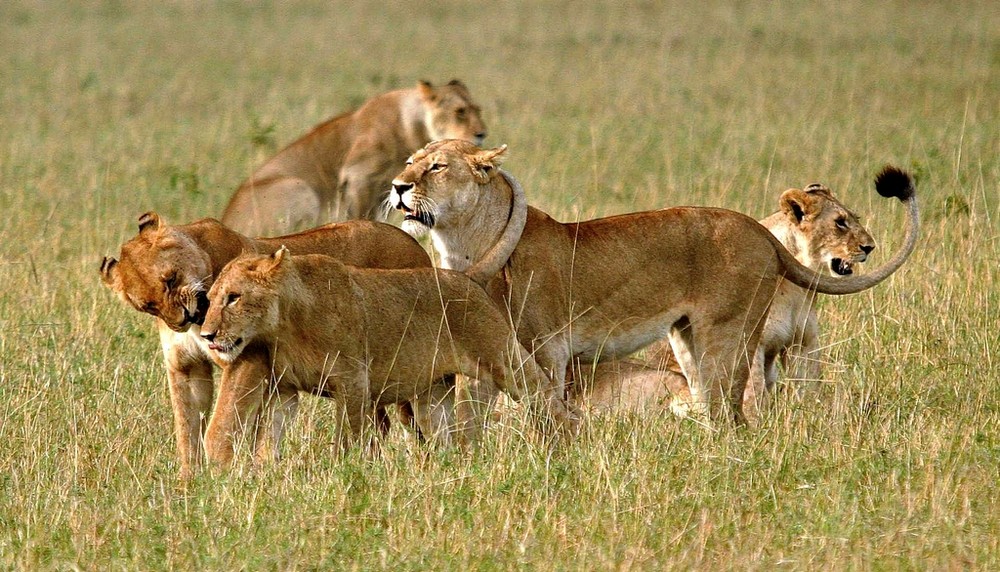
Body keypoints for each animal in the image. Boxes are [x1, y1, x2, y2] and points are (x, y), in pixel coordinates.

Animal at [97, 212, 434, 476]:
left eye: (170, 279)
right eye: (148, 306)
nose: (184, 317)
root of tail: (413, 242)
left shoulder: (248, 357)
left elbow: (219, 426)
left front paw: (221, 476)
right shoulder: (186, 367)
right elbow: (187, 431)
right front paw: (190, 484)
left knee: (412, 423)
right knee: (381, 424)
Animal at [199, 246, 580, 464]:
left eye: (233, 297)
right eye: (211, 299)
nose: (207, 335)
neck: (287, 325)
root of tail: (464, 276)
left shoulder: (353, 382)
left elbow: (349, 437)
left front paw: (345, 473)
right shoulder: (285, 389)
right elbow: (269, 435)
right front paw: (266, 473)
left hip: (503, 358)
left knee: (549, 401)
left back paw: (569, 455)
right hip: (432, 396)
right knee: (445, 439)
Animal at [221, 78, 486, 235]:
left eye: (478, 109)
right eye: (460, 112)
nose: (482, 134)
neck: (415, 126)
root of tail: (226, 221)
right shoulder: (358, 177)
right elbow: (361, 216)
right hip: (299, 187)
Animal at [572, 182, 884, 416]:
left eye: (854, 218)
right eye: (840, 223)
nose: (870, 247)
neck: (797, 289)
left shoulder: (803, 343)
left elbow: (810, 389)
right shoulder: (753, 341)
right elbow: (754, 394)